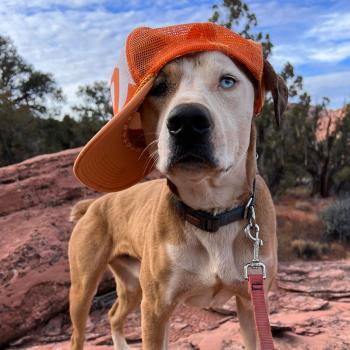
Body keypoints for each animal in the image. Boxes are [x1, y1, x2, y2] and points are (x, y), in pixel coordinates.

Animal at [67, 50, 288, 350]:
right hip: (84, 288)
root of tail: (93, 205)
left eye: (227, 81)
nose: (187, 122)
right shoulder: (156, 309)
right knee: (78, 333)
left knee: (114, 315)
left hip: (132, 286)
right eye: (158, 87)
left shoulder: (252, 302)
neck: (211, 210)